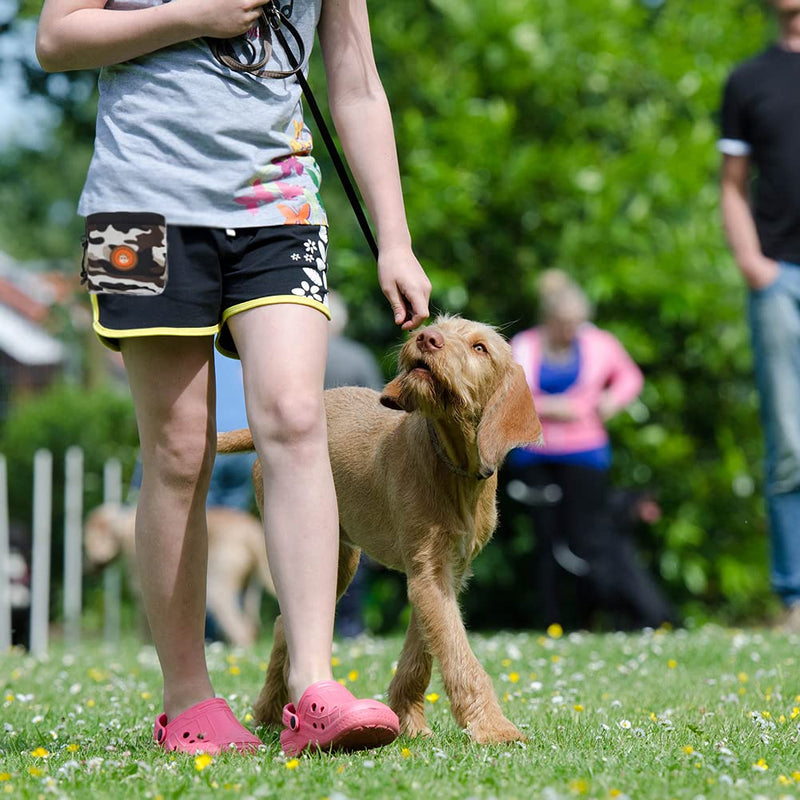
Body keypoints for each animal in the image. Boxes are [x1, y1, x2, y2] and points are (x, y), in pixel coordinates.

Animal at [82, 504, 274, 648]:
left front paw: (145, 648)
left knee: (240, 630)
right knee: (250, 626)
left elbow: (145, 626)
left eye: (86, 542)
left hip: (217, 589)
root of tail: (250, 531)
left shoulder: (141, 591)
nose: (86, 569)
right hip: (251, 589)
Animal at [219, 316, 544, 740]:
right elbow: (458, 653)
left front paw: (409, 721)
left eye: (479, 348)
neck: (453, 465)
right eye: (439, 326)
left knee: (280, 626)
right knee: (283, 624)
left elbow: (422, 653)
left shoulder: (443, 574)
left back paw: (270, 712)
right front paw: (493, 727)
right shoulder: (428, 572)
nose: (426, 337)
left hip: (339, 560)